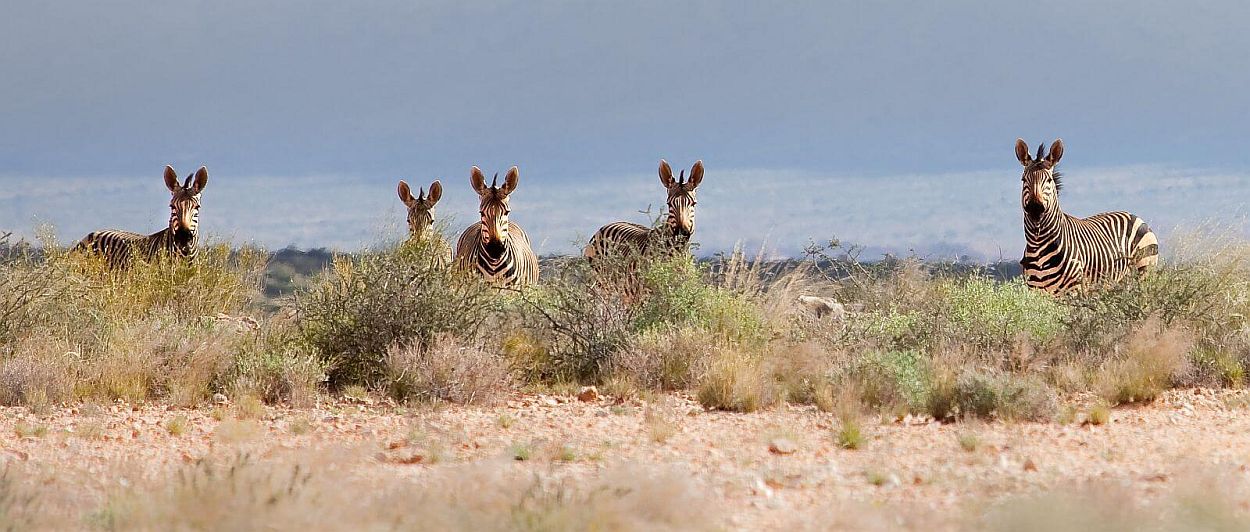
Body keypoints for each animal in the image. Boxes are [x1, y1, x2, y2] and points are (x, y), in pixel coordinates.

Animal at [1016, 138, 1159, 295]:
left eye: (1049, 180)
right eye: (1023, 180)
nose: (1035, 210)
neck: (1038, 244)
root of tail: (1133, 215)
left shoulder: (1073, 290)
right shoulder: (1035, 291)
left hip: (1145, 271)